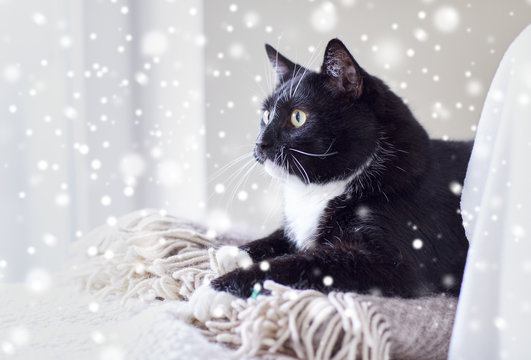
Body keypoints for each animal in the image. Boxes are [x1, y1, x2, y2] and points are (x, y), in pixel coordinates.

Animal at [210, 38, 472, 300]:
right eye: (266, 115)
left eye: (298, 117)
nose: (260, 144)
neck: (321, 189)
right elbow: (278, 237)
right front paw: (232, 254)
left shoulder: (392, 261)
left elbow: (304, 262)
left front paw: (225, 283)